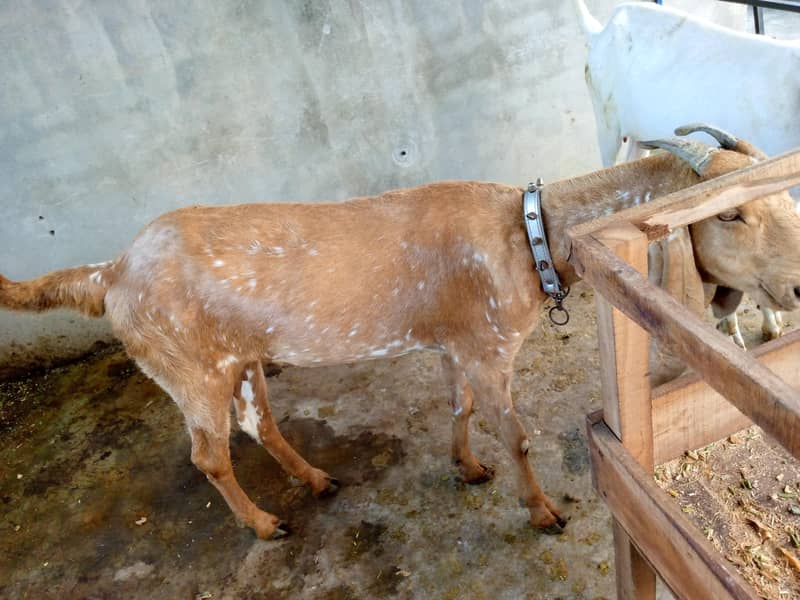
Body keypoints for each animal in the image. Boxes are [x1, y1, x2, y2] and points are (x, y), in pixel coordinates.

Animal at [2, 130, 799, 540]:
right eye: (729, 214)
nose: (795, 287)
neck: (528, 235)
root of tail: (110, 272)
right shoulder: (488, 346)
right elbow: (515, 435)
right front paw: (542, 510)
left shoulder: (455, 342)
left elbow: (461, 408)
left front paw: (467, 467)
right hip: (188, 368)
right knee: (209, 454)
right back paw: (263, 523)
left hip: (241, 360)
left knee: (259, 424)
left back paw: (316, 480)